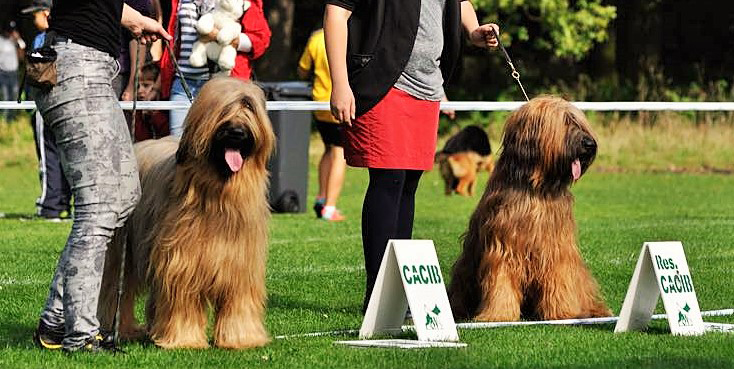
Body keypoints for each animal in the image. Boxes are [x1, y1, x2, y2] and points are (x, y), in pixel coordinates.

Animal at [100, 77, 276, 348]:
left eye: (248, 106)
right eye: (223, 109)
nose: (237, 132)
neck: (219, 197)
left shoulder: (241, 266)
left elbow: (239, 302)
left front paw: (241, 338)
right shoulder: (183, 263)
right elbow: (182, 301)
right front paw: (184, 340)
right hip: (123, 250)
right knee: (116, 289)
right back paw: (120, 329)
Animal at [452, 96, 612, 320]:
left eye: (579, 122)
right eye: (565, 122)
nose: (590, 144)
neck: (537, 188)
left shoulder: (557, 247)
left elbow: (559, 278)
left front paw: (562, 312)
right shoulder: (503, 247)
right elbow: (501, 282)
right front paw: (498, 314)